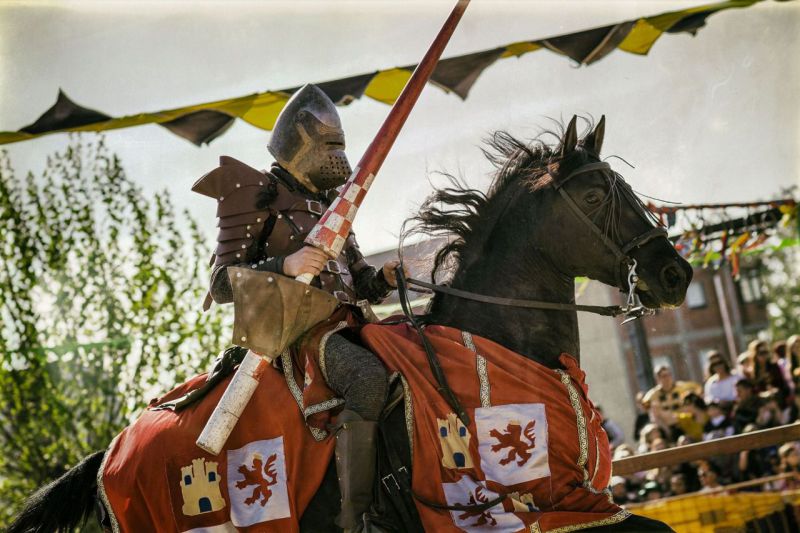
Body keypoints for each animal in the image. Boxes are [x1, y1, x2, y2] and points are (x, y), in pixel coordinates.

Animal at [9, 117, 692, 532]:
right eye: (597, 196)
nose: (677, 273)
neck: (498, 344)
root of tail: (106, 455)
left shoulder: (576, 506)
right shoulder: (538, 509)